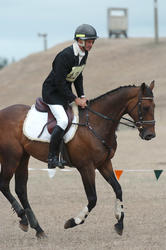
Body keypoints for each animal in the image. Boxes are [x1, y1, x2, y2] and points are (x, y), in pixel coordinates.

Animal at [0, 80, 156, 238]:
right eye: (145, 107)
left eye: (154, 106)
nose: (150, 135)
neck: (96, 122)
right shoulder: (86, 167)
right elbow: (92, 198)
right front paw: (73, 221)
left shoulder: (104, 163)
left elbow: (118, 189)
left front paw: (119, 223)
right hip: (11, 158)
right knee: (4, 185)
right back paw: (23, 217)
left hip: (23, 157)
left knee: (21, 189)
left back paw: (37, 228)